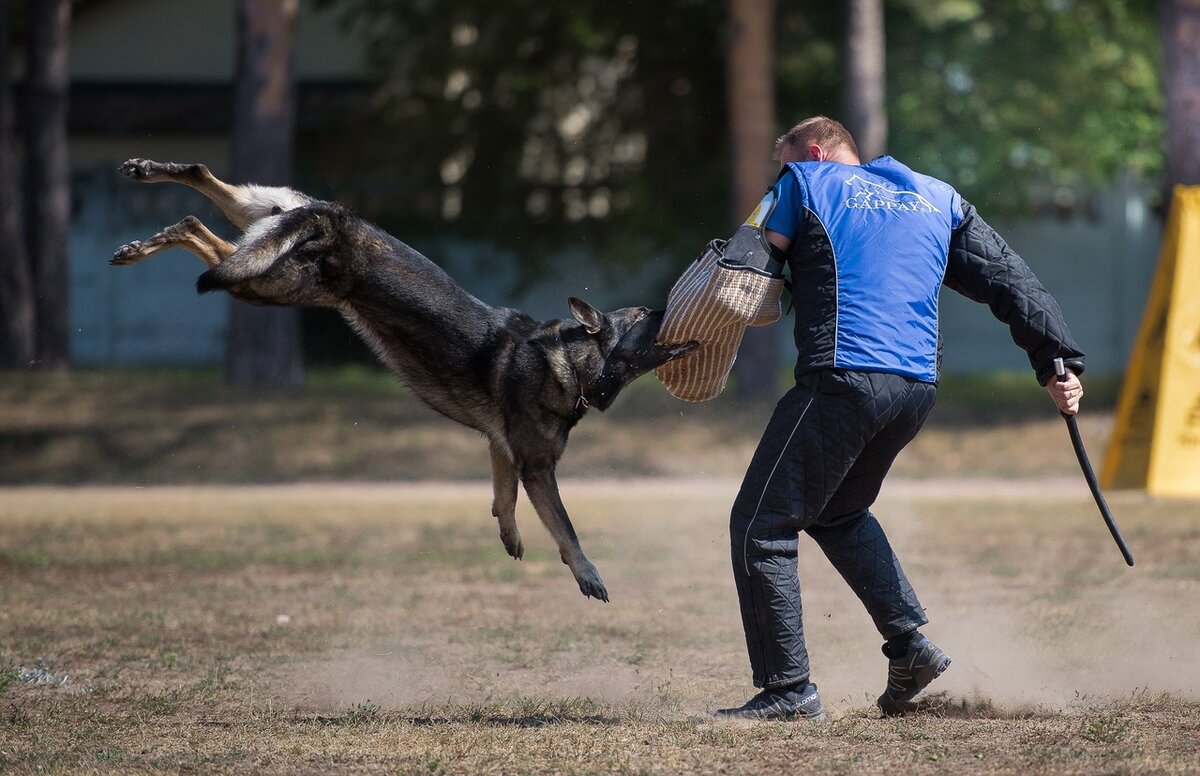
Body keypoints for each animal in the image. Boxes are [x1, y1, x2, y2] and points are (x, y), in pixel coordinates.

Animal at [110, 159, 700, 606]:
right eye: (644, 314)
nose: (672, 302)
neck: (570, 359)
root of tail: (333, 216)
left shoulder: (501, 447)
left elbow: (503, 497)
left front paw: (509, 535)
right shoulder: (536, 467)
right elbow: (567, 528)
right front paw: (587, 573)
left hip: (265, 232)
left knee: (202, 192)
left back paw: (143, 199)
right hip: (267, 285)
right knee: (200, 233)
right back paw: (147, 238)